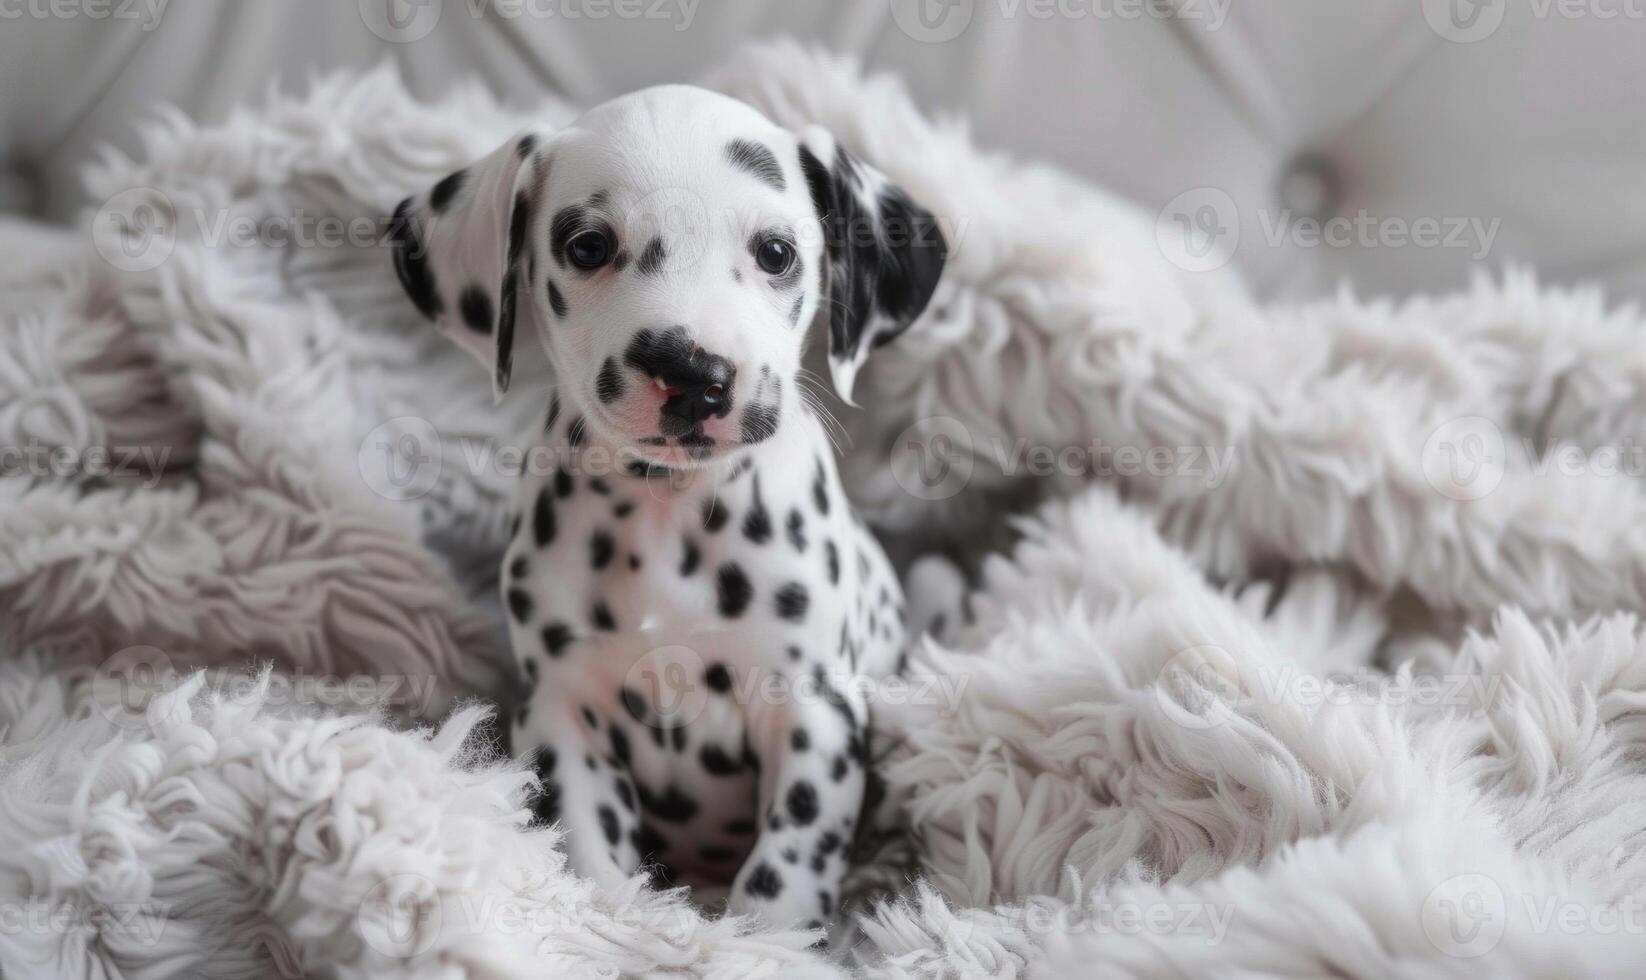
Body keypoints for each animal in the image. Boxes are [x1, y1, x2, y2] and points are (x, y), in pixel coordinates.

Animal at [386, 86, 948, 928]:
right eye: (588, 246)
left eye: (776, 252)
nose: (691, 371)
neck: (669, 510)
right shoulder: (563, 711)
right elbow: (591, 850)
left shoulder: (814, 712)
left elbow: (782, 877)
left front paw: (764, 942)